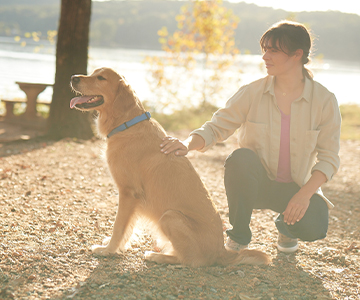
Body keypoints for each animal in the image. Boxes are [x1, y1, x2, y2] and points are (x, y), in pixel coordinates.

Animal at [69, 68, 270, 268]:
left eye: (101, 78)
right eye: (93, 73)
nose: (73, 78)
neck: (127, 124)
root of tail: (220, 252)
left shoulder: (128, 192)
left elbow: (119, 227)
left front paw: (108, 250)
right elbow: (128, 228)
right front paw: (116, 246)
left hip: (170, 216)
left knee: (190, 260)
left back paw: (156, 256)